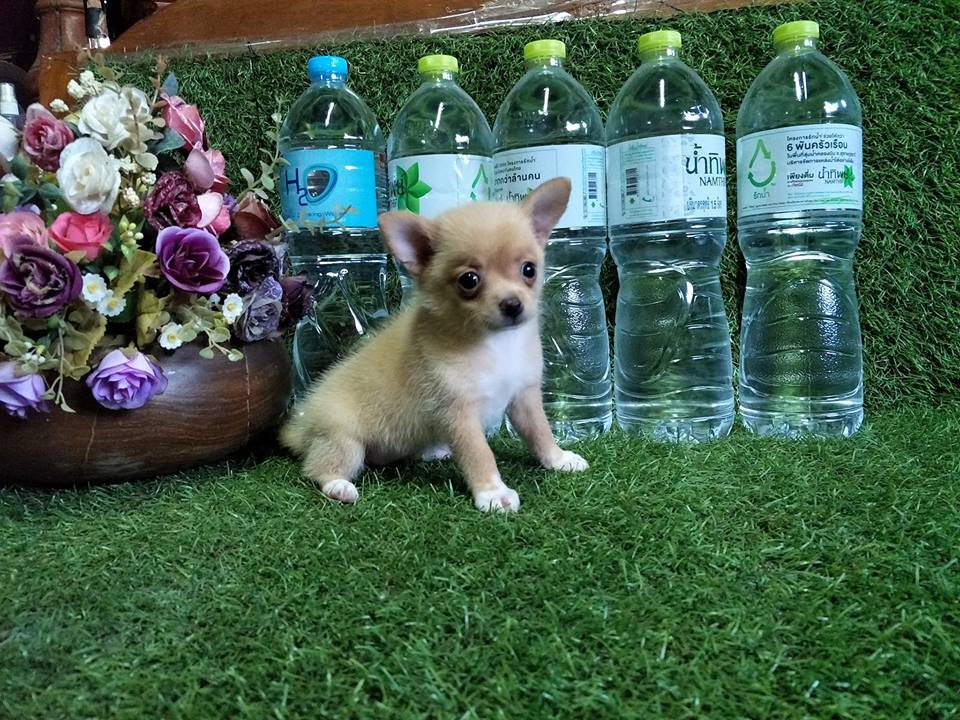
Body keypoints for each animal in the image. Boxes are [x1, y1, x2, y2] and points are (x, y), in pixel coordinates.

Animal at [280, 177, 589, 512]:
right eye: (469, 280)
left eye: (529, 270)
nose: (513, 304)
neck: (495, 344)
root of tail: (301, 426)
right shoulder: (459, 415)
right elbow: (480, 454)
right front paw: (492, 492)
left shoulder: (524, 398)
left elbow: (540, 433)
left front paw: (558, 459)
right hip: (343, 440)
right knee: (318, 468)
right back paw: (338, 486)